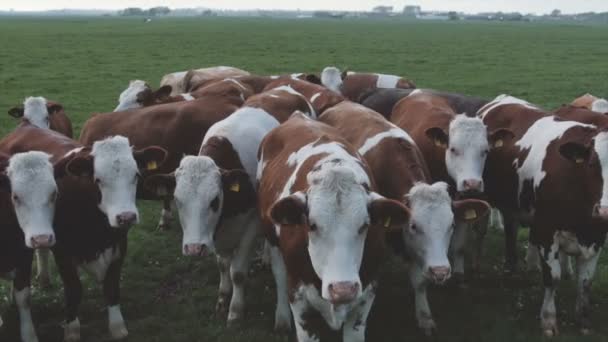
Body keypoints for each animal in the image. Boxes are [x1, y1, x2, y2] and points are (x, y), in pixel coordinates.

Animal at [256, 112, 408, 340]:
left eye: (365, 225)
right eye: (311, 225)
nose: (342, 289)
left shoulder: (366, 295)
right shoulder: (299, 300)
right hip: (274, 245)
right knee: (279, 275)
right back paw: (281, 319)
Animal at [390, 90, 512, 278]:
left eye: (485, 151)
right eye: (453, 149)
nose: (472, 183)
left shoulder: (461, 204)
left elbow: (459, 245)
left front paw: (459, 272)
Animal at [480, 93, 608, 336]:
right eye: (591, 164)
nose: (605, 210)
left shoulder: (596, 237)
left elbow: (585, 282)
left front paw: (583, 320)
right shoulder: (547, 230)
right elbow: (552, 278)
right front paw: (548, 320)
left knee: (510, 229)